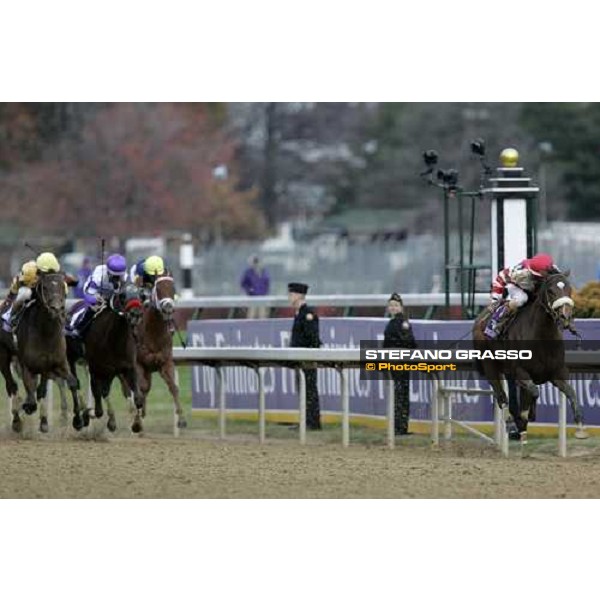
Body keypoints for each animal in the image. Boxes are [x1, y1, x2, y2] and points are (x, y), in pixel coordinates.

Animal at [12, 272, 82, 432]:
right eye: (44, 287)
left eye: (63, 286)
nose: (56, 309)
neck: (46, 333)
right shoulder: (26, 365)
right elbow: (32, 395)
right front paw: (28, 407)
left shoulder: (58, 364)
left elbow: (72, 383)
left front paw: (78, 420)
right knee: (12, 386)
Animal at [67, 284, 144, 432]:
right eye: (122, 295)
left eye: (141, 295)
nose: (136, 314)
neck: (114, 338)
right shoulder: (97, 368)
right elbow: (98, 402)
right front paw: (87, 414)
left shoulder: (126, 367)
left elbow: (137, 398)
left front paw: (136, 423)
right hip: (71, 359)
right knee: (75, 385)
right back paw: (79, 418)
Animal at [476, 272, 588, 440]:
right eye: (550, 291)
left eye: (569, 289)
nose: (565, 316)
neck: (542, 337)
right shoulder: (520, 372)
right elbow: (534, 392)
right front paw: (524, 416)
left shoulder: (557, 373)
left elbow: (572, 393)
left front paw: (580, 425)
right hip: (490, 366)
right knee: (501, 396)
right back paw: (511, 422)